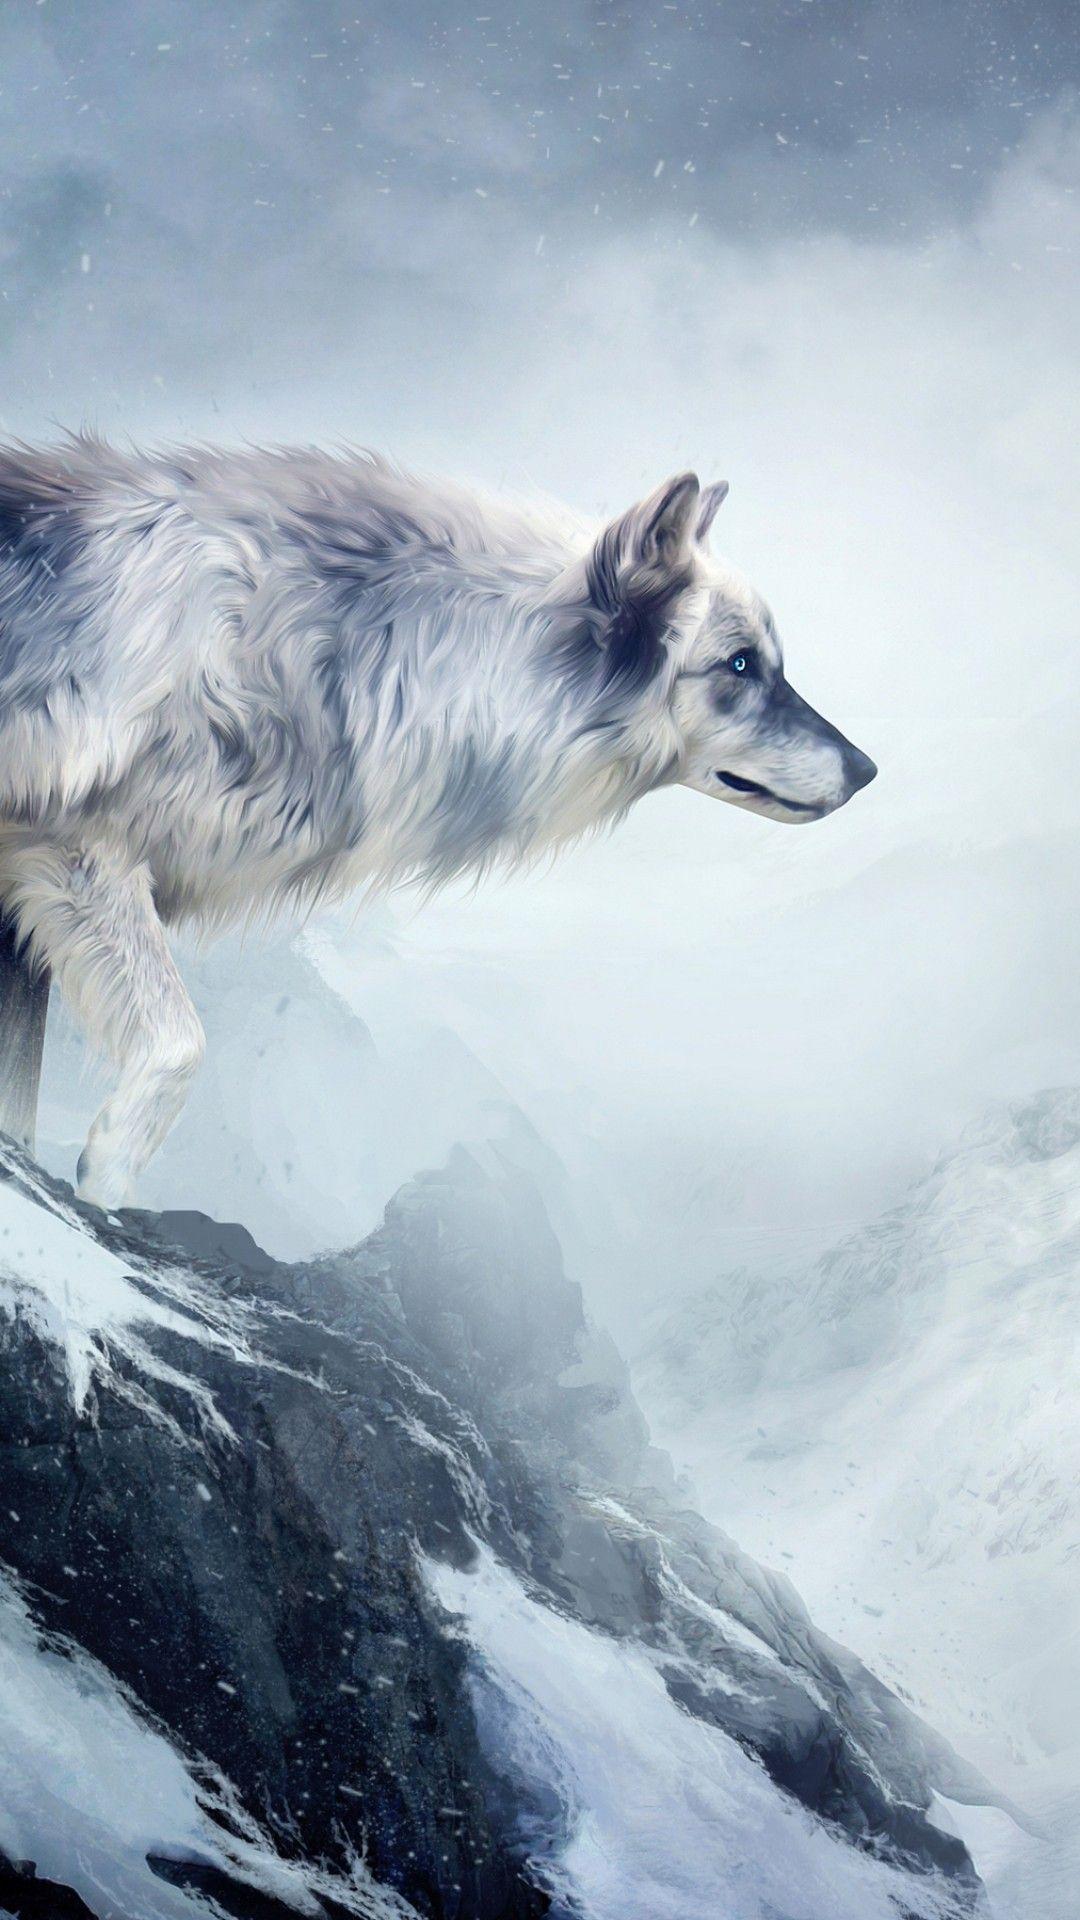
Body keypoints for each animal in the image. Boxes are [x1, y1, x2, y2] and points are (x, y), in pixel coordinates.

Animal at [0, 437, 875, 1207]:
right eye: (740, 666)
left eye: (775, 665)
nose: (868, 771)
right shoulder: (80, 853)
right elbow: (181, 1045)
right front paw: (106, 1178)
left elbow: (19, 1104)